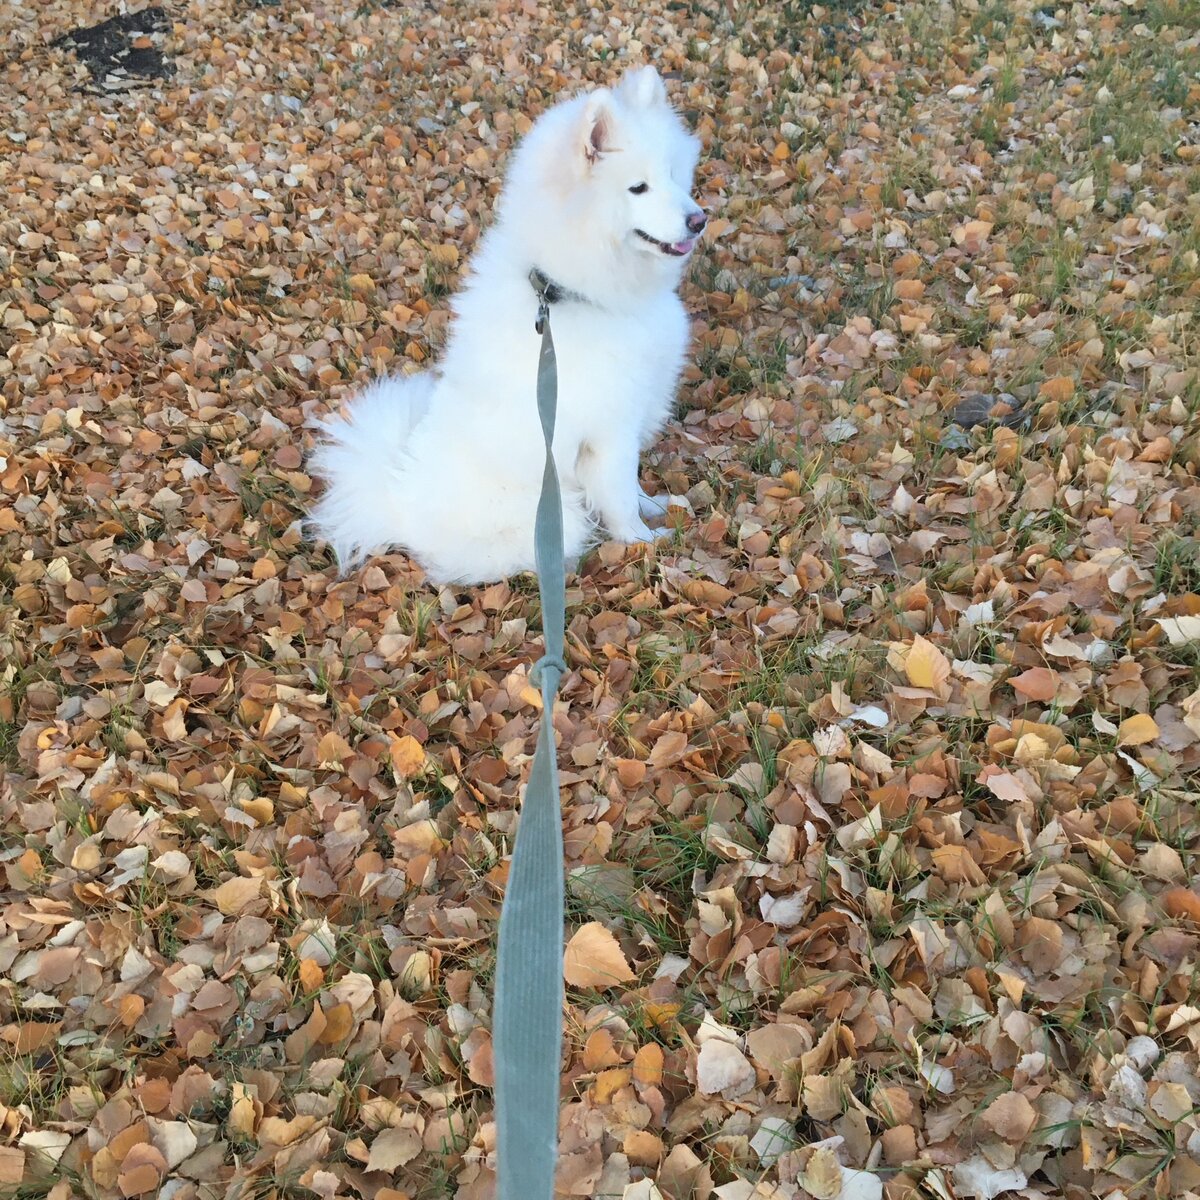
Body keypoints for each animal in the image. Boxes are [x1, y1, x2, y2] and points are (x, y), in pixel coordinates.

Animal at [307, 68, 700, 583]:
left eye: (674, 176)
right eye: (639, 188)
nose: (699, 220)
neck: (564, 292)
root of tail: (396, 505)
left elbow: (632, 487)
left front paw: (654, 505)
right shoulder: (609, 430)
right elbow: (618, 496)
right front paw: (643, 540)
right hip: (552, 512)